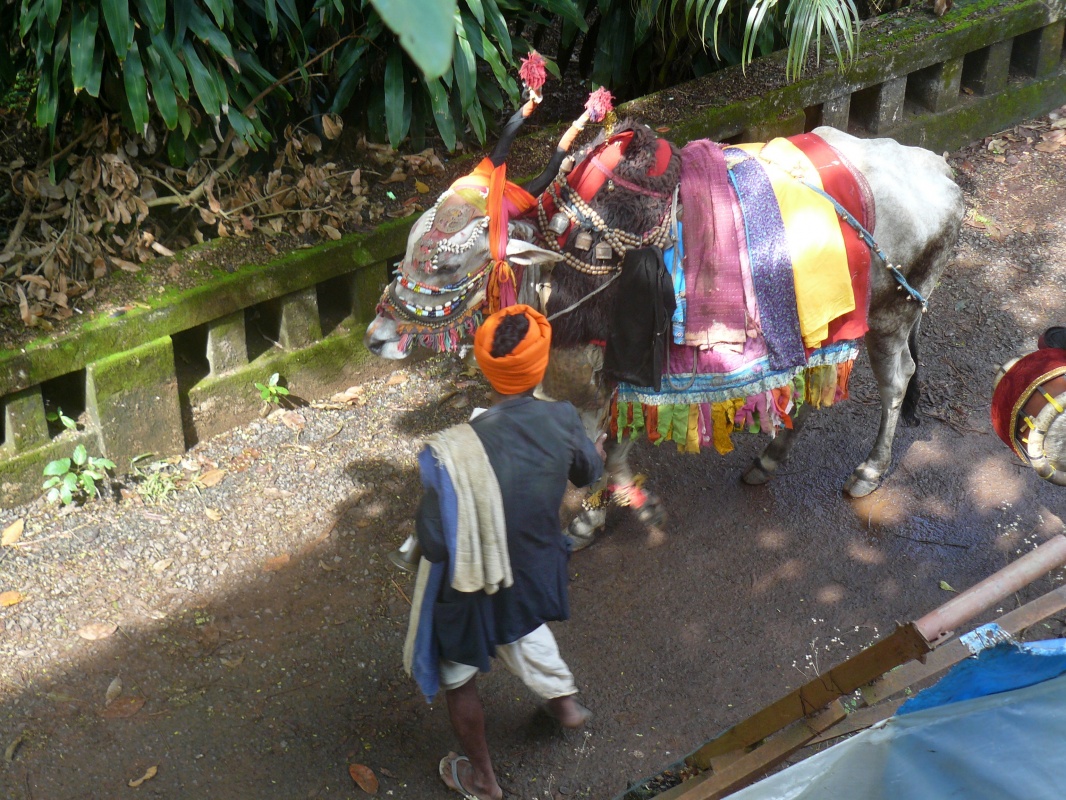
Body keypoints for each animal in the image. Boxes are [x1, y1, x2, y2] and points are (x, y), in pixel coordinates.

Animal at [364, 106, 965, 547]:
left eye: (445, 265)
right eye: (409, 248)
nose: (377, 337)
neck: (561, 263)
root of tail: (940, 173)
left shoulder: (597, 381)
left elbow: (601, 451)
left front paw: (588, 521)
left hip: (893, 314)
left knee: (896, 380)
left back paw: (868, 471)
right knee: (805, 390)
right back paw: (767, 460)